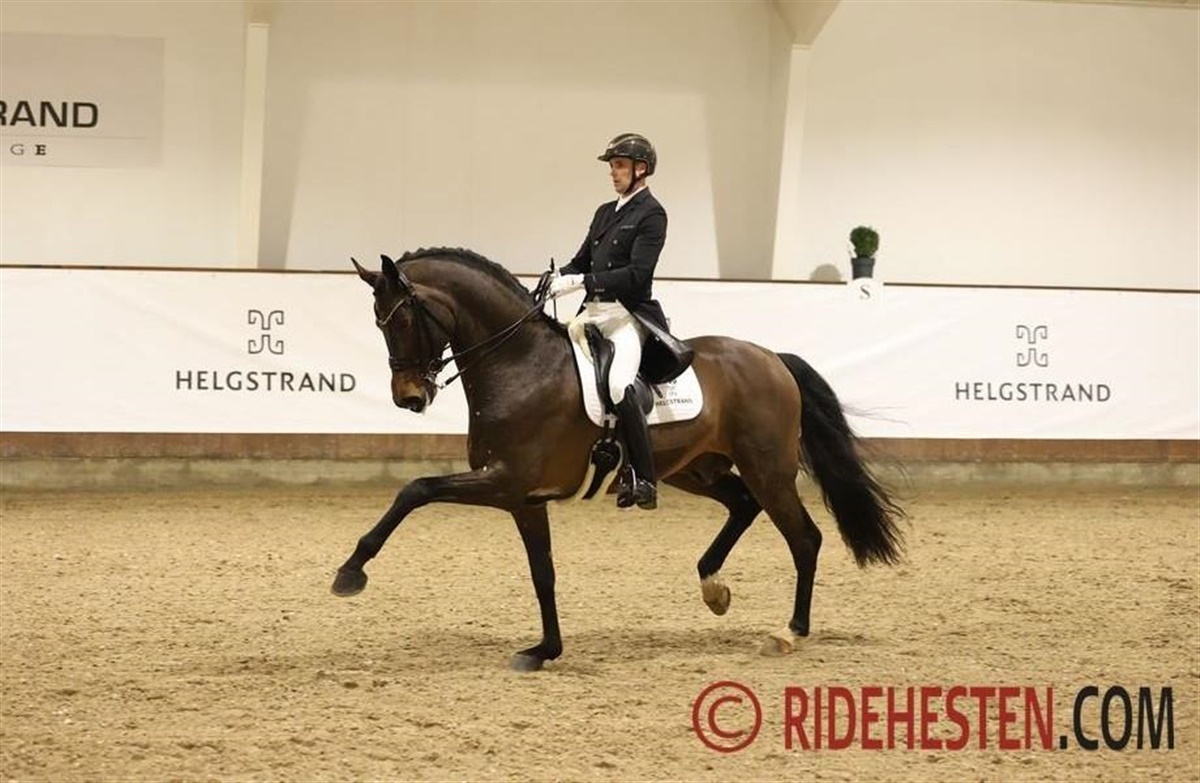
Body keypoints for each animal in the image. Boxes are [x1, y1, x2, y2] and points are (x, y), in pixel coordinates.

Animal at [332, 248, 906, 671]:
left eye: (402, 319)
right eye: (379, 322)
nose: (409, 398)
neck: (518, 365)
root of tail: (771, 358)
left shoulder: (503, 482)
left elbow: (416, 489)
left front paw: (350, 573)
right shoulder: (523, 498)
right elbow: (543, 573)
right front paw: (544, 651)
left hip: (768, 469)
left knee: (804, 537)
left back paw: (788, 633)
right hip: (697, 469)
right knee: (743, 506)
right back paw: (713, 587)